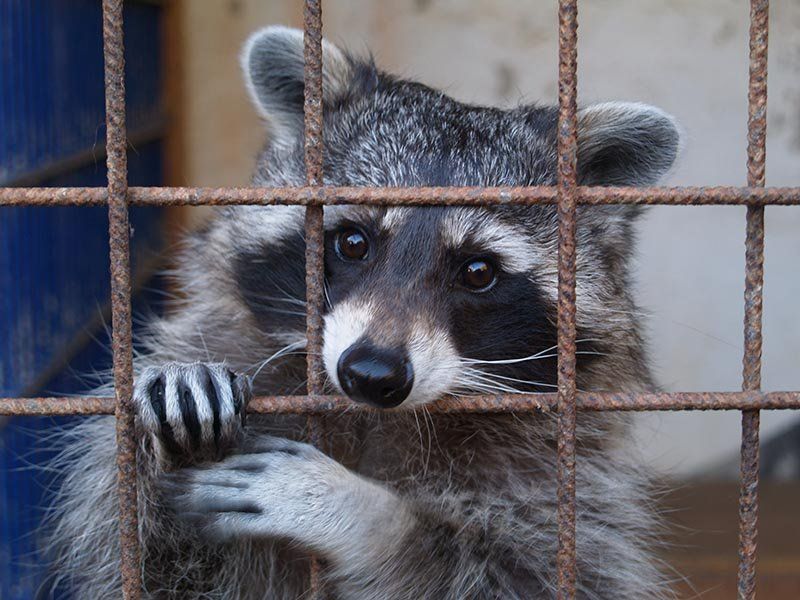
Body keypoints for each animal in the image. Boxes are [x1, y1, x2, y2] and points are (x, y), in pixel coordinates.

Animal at [43, 27, 680, 600]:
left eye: (478, 271)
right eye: (352, 242)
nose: (372, 375)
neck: (377, 418)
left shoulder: (565, 481)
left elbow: (535, 575)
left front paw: (367, 518)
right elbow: (144, 564)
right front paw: (170, 442)